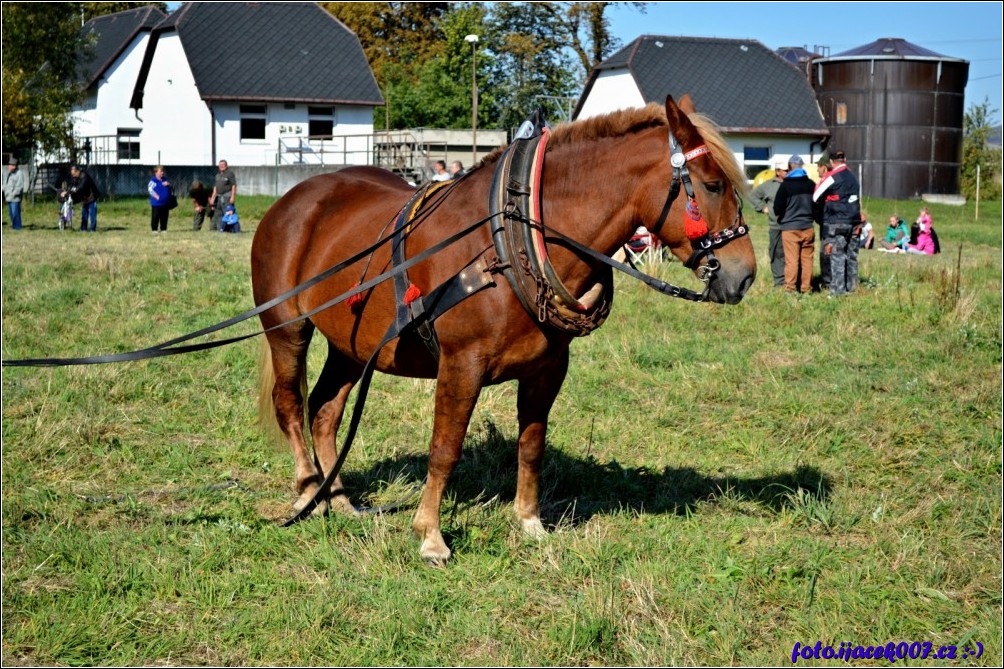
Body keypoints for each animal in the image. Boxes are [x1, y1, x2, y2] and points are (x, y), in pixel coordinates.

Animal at [250, 94, 755, 562]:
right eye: (712, 185)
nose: (745, 275)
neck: (509, 244)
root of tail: (293, 200)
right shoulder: (461, 365)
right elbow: (445, 448)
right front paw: (430, 535)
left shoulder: (548, 369)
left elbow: (532, 446)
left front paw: (530, 522)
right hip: (287, 328)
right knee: (290, 404)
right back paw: (308, 491)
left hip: (350, 344)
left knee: (325, 410)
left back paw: (337, 498)